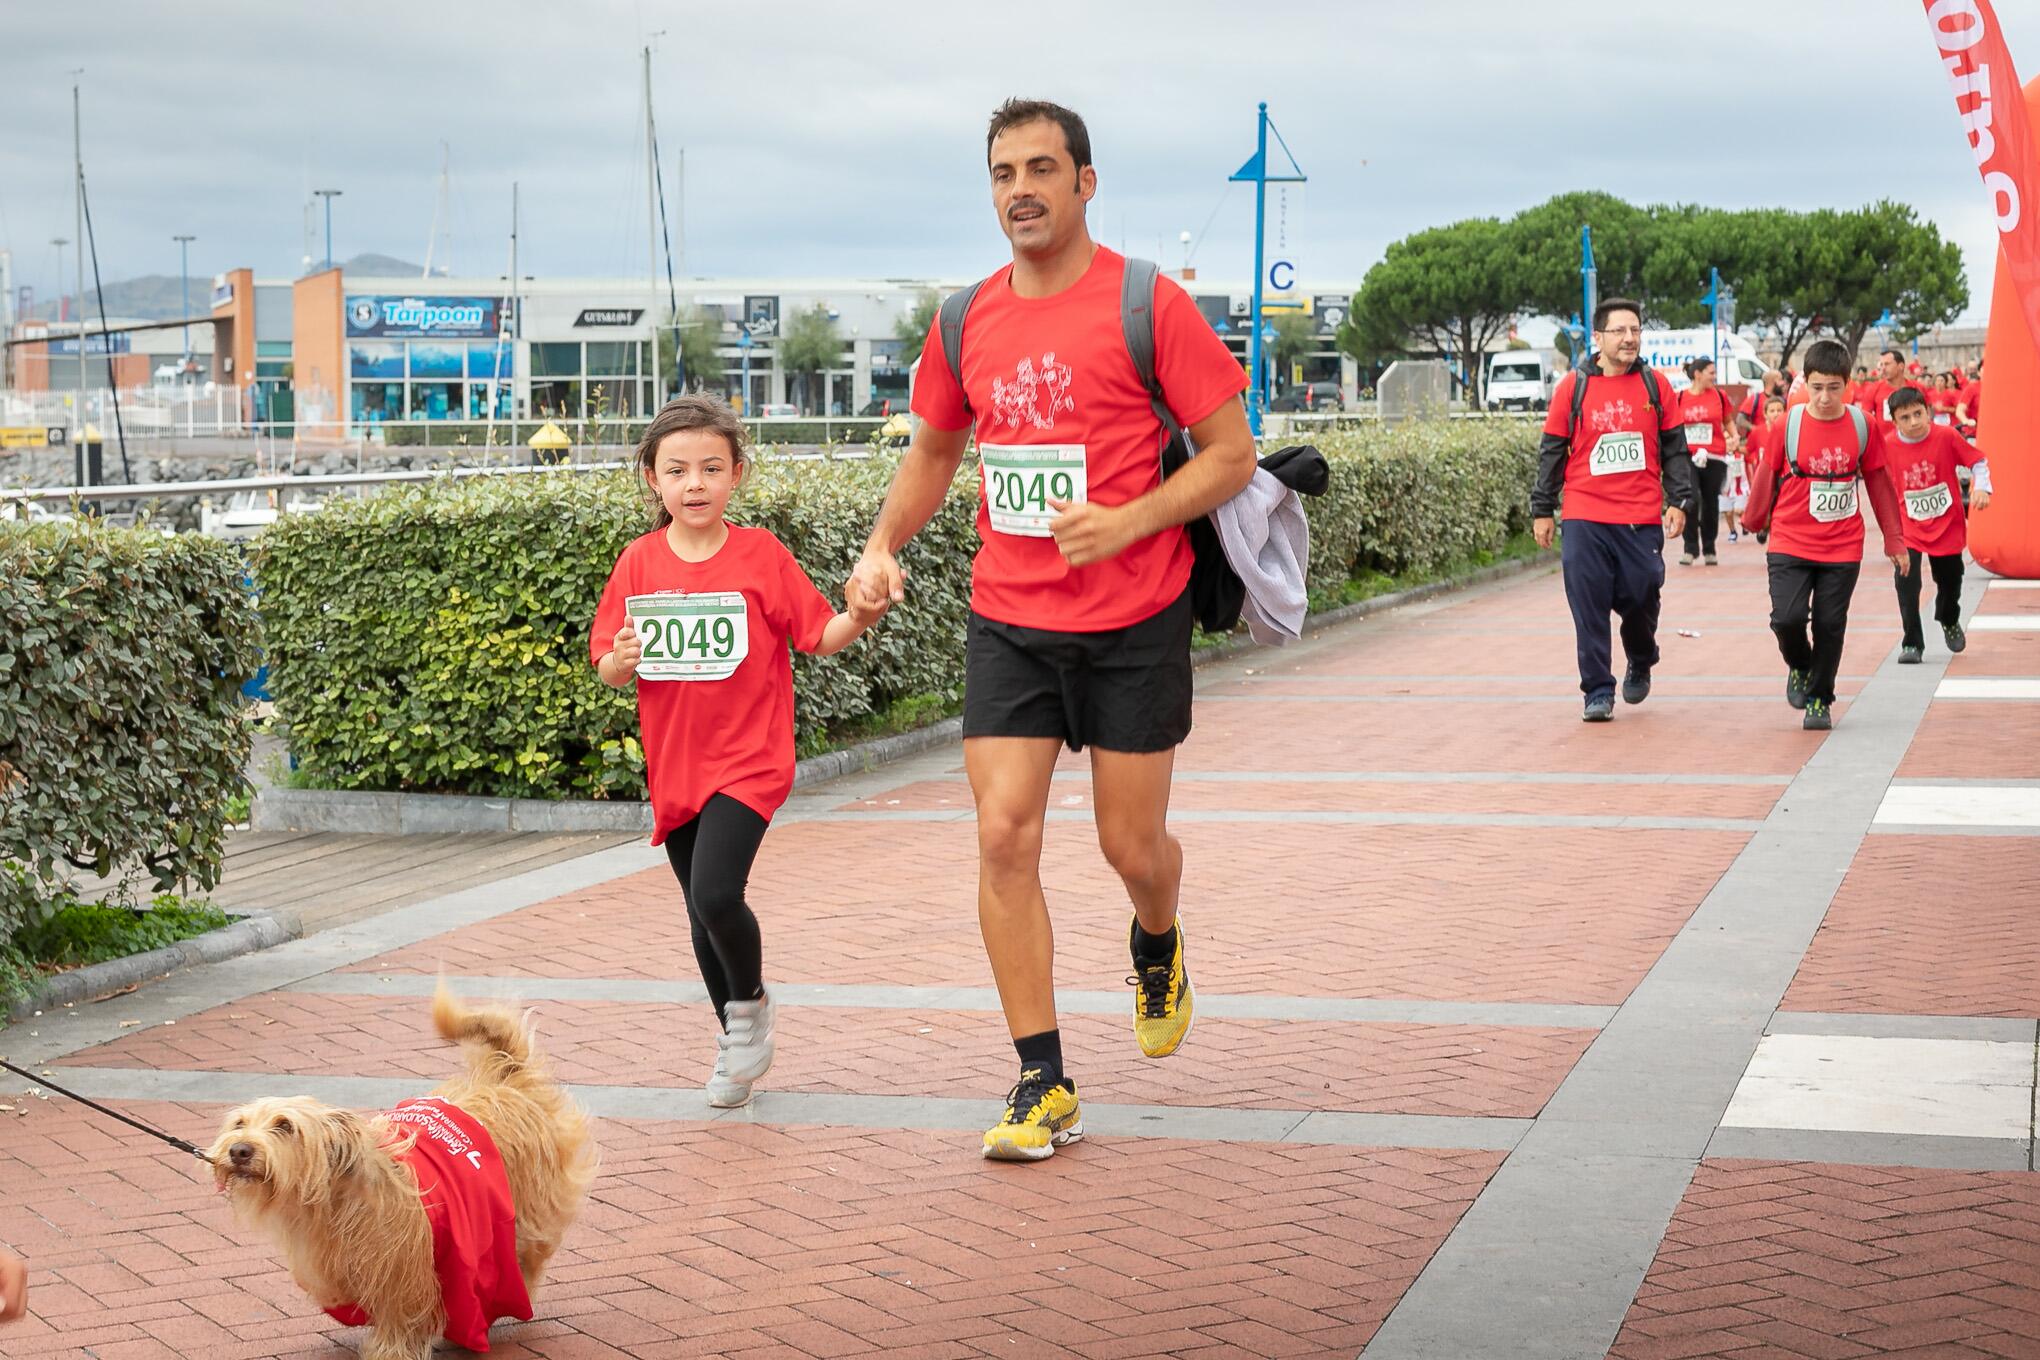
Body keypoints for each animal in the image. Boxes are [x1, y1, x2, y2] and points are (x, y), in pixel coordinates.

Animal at [214, 990, 595, 1360]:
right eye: (239, 1124)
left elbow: (401, 1312)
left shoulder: (403, 1269)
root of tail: (506, 1080)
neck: (339, 1197)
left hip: (525, 1208)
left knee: (528, 1253)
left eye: (284, 1125)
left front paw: (390, 1349)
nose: (239, 1151)